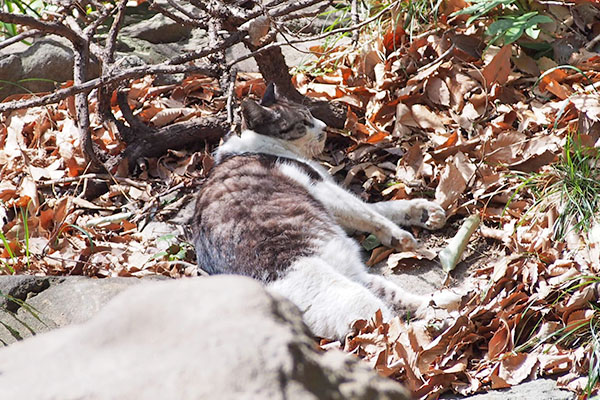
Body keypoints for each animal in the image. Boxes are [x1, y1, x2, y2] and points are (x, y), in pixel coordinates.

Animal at [195, 83, 452, 340]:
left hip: (360, 279)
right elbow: (369, 214)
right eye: (302, 122)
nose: (324, 127)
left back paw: (447, 301)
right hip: (347, 293)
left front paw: (422, 212)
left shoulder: (331, 203)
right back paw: (439, 325)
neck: (250, 147)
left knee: (401, 304)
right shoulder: (320, 186)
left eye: (310, 114)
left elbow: (377, 208)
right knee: (391, 329)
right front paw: (402, 237)